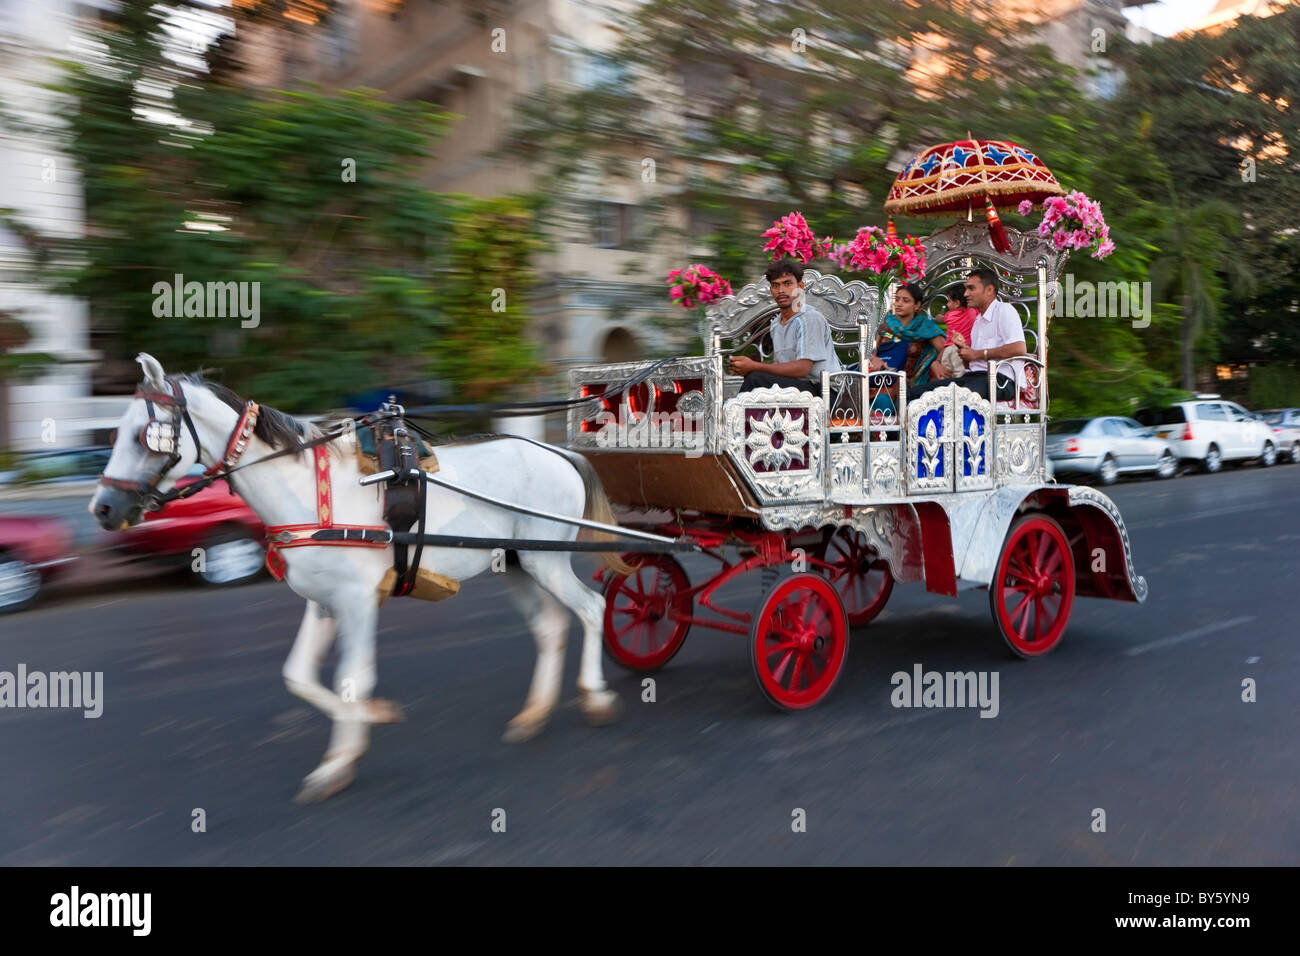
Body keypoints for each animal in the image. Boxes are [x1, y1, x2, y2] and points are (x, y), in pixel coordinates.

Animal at [89, 356, 626, 806]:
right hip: (517, 563)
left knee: (592, 608)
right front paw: (364, 726)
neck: (308, 490)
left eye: (143, 436)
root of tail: (557, 452)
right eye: (114, 433)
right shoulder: (323, 602)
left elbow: (352, 678)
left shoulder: (358, 600)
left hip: (545, 560)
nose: (102, 509)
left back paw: (596, 695)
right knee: (551, 627)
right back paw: (535, 713)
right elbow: (299, 675)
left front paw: (342, 756)